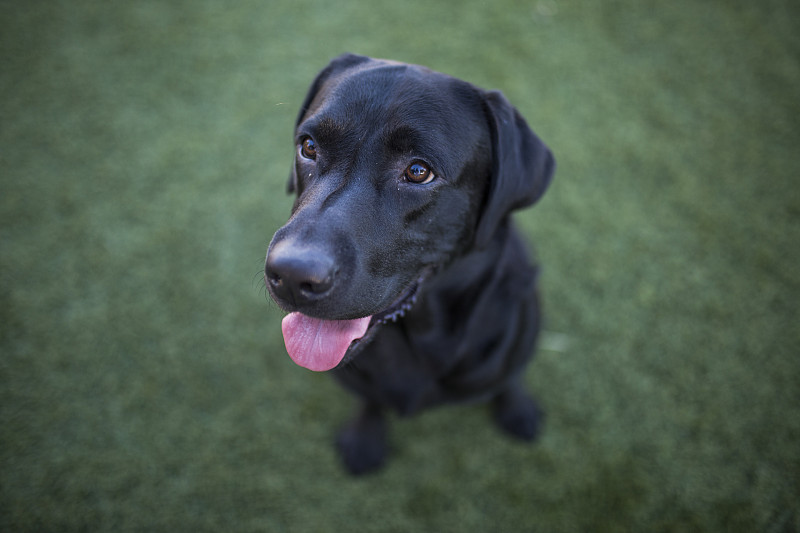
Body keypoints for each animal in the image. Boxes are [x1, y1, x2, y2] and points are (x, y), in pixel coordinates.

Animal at [266, 54, 552, 474]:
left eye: (418, 172)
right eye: (308, 146)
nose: (290, 274)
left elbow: (509, 379)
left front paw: (518, 409)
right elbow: (370, 400)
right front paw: (364, 439)